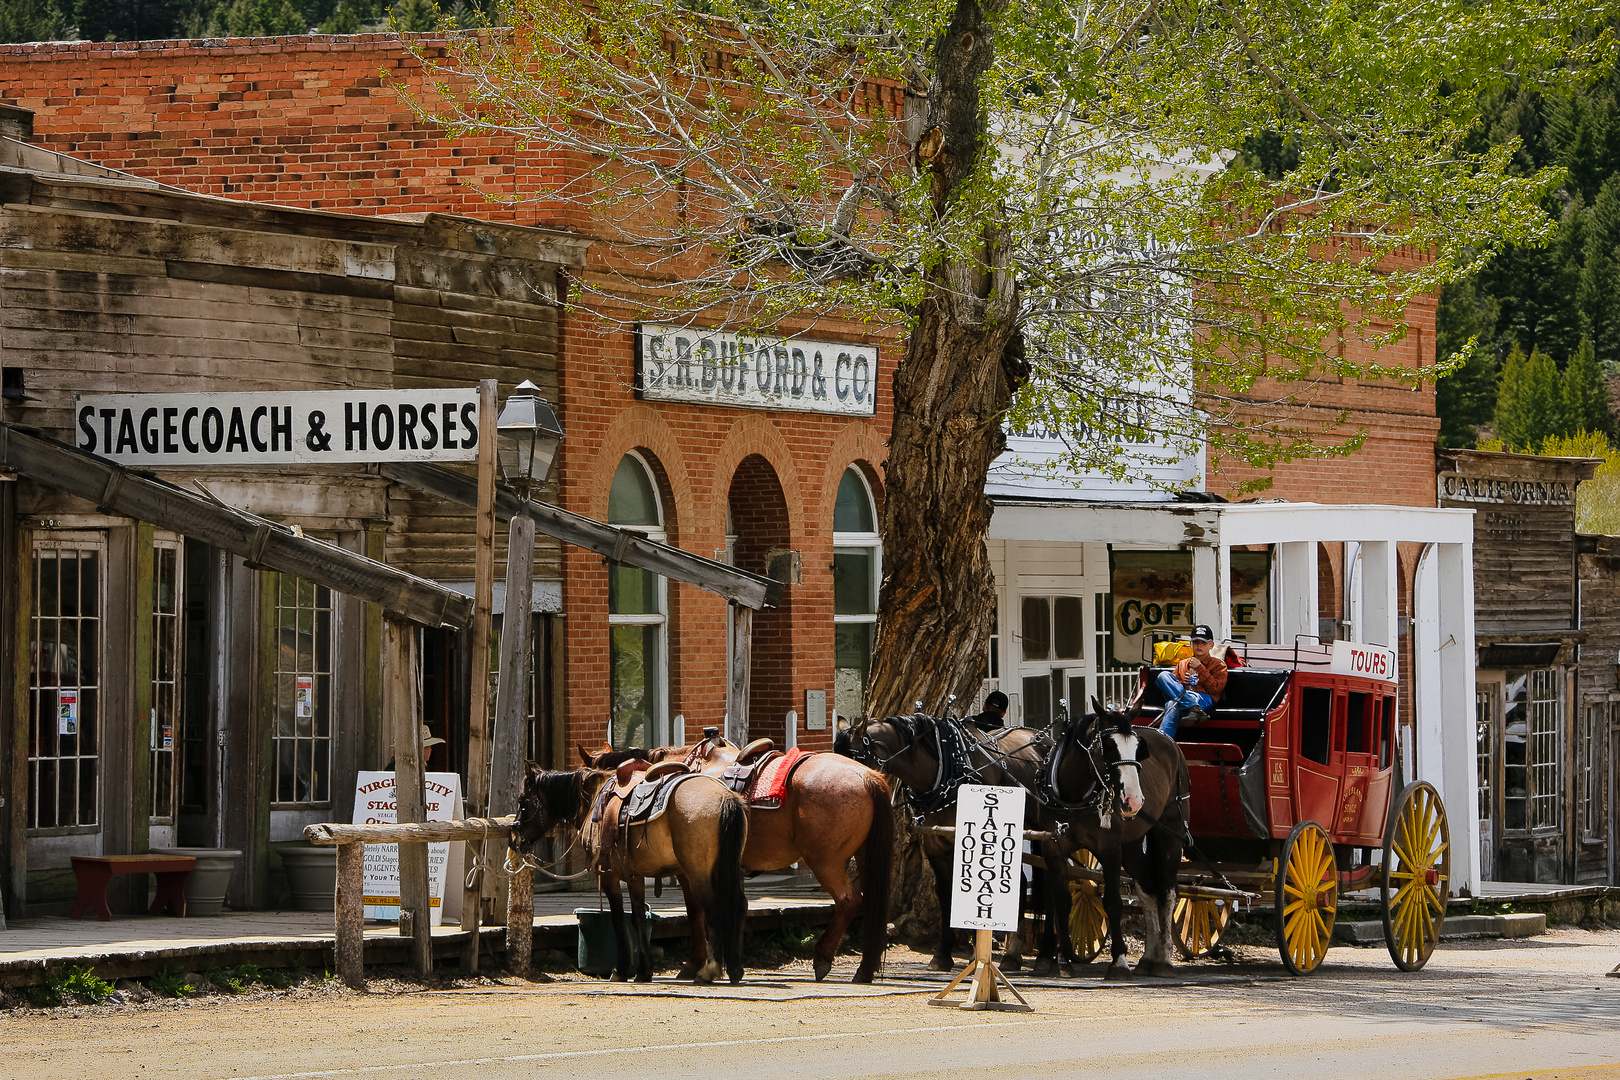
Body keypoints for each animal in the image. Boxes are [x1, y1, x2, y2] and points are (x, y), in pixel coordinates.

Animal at [511, 764, 751, 984]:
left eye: (523, 801)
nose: (515, 838)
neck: (594, 800)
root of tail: (726, 797)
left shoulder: (609, 876)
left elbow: (618, 919)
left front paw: (621, 970)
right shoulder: (635, 877)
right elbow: (638, 919)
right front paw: (644, 971)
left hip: (698, 874)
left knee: (713, 910)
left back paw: (709, 970)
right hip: (726, 870)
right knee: (738, 905)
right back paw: (735, 969)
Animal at [583, 738, 894, 984]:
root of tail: (868, 777)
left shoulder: (689, 870)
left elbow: (697, 912)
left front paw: (696, 964)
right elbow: (736, 906)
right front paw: (730, 963)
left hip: (825, 861)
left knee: (848, 901)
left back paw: (822, 958)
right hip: (863, 856)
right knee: (870, 904)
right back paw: (864, 970)